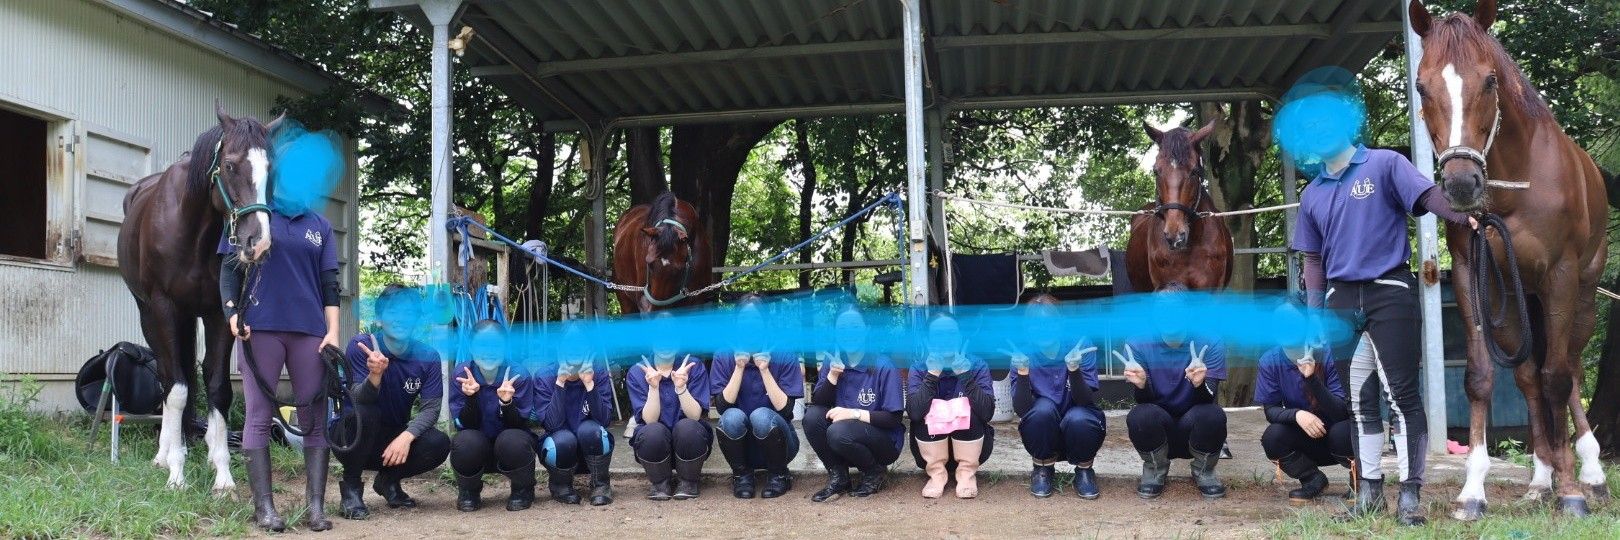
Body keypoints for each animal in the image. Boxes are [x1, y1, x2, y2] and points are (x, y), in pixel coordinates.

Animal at [117, 101, 282, 492]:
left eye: (272, 170)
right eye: (231, 165)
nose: (259, 243)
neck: (191, 229)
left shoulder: (220, 312)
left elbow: (218, 387)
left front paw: (222, 474)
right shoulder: (164, 307)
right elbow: (176, 388)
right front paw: (176, 473)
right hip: (149, 313)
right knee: (167, 377)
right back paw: (165, 454)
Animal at [1409, 0, 1610, 518]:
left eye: (1489, 81)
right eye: (1422, 86)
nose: (1462, 185)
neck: (1517, 183)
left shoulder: (1560, 276)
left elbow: (1558, 378)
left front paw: (1572, 490)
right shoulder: (1471, 276)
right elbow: (1482, 378)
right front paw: (1473, 492)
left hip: (1581, 297)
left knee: (1570, 369)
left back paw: (1590, 471)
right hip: (1516, 302)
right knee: (1527, 377)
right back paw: (1540, 480)